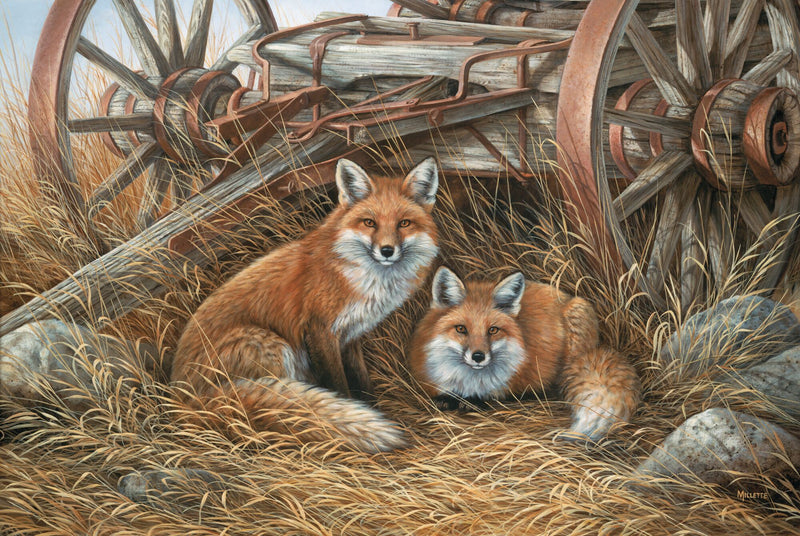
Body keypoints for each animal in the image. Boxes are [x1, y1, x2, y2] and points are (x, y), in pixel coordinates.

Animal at [172, 157, 440, 453]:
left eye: (404, 223)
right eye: (370, 222)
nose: (387, 251)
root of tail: (185, 397)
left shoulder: (351, 334)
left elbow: (362, 378)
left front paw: (372, 406)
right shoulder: (320, 330)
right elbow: (339, 384)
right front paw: (348, 412)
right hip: (272, 346)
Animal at [408, 267, 640, 442]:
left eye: (493, 330)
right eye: (461, 329)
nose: (478, 356)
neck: (467, 381)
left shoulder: (510, 382)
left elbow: (493, 395)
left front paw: (474, 401)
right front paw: (446, 399)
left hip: (576, 322)